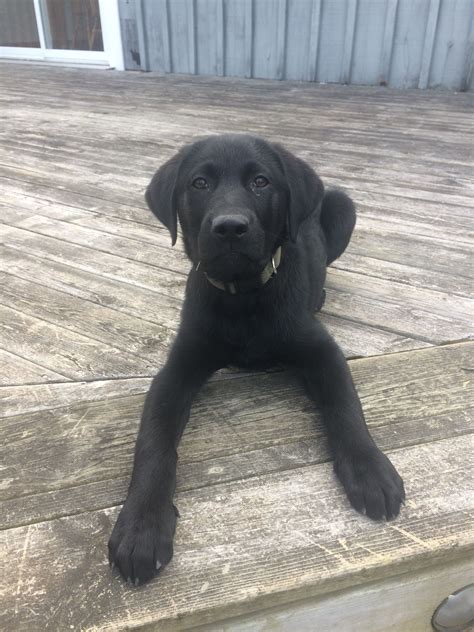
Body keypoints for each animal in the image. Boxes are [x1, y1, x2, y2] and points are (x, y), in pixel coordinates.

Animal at [109, 136, 406, 584]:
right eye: (199, 183)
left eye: (261, 182)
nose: (230, 227)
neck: (244, 297)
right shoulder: (176, 371)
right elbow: (153, 441)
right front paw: (140, 525)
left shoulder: (322, 352)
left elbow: (346, 408)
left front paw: (370, 470)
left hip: (343, 207)